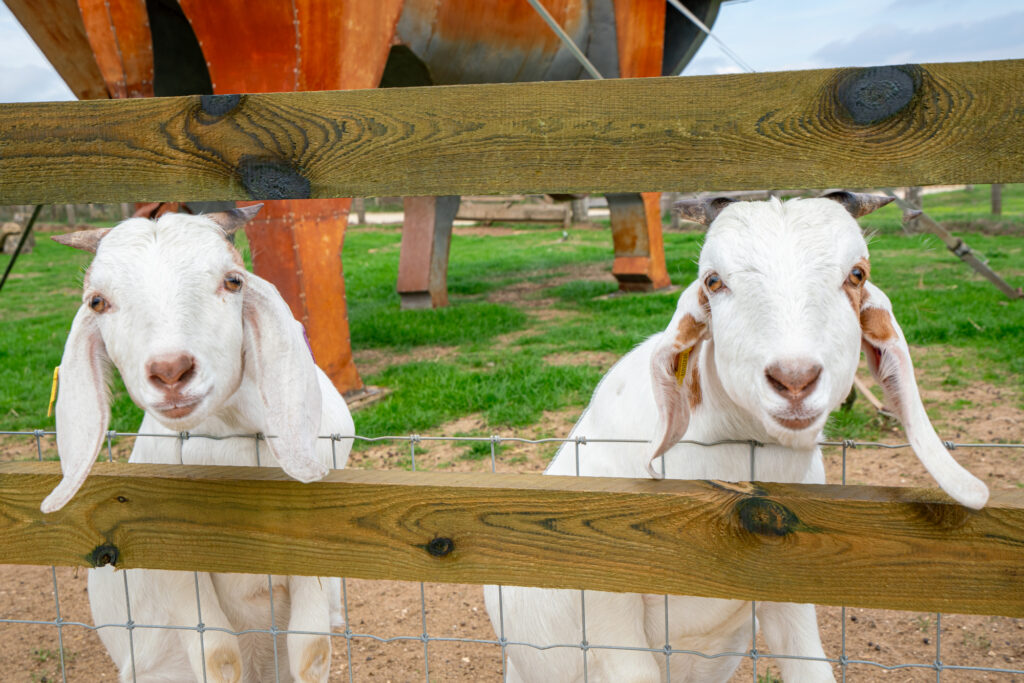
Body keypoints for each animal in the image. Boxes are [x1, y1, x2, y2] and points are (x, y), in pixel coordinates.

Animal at [46, 206, 354, 683]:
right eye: (97, 302)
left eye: (233, 280)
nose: (170, 371)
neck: (232, 438)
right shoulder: (168, 556)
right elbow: (219, 657)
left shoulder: (315, 541)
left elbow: (311, 651)